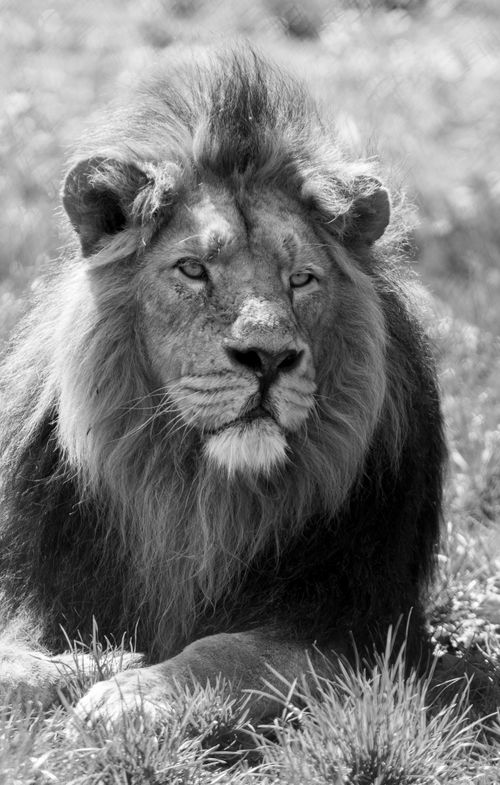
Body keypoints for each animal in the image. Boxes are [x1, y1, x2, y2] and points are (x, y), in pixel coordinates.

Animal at [0, 46, 445, 726]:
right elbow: (12, 661)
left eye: (301, 279)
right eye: (192, 269)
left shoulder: (362, 637)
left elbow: (227, 651)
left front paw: (132, 692)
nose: (269, 357)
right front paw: (88, 663)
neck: (201, 500)